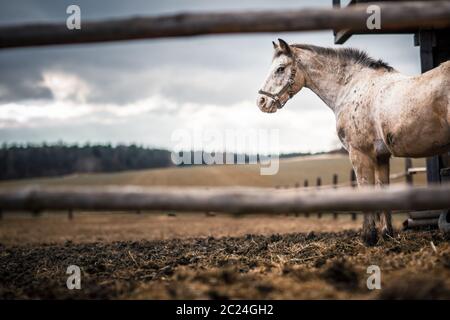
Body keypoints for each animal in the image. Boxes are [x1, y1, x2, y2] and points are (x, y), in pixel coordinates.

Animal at [256, 38, 450, 246]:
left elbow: (365, 188)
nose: (261, 101)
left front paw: (369, 238)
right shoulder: (382, 156)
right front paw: (386, 234)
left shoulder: (360, 153)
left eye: (280, 69)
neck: (351, 87)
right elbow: (383, 189)